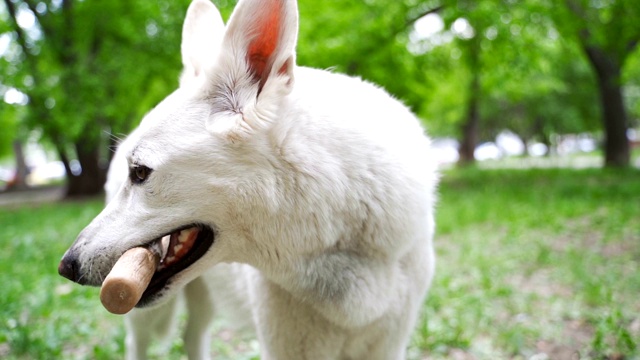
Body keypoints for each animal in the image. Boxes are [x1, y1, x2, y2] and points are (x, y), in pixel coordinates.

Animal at [58, 0, 440, 358]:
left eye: (139, 172)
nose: (66, 266)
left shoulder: (389, 345)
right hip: (146, 317)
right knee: (137, 344)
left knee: (192, 337)